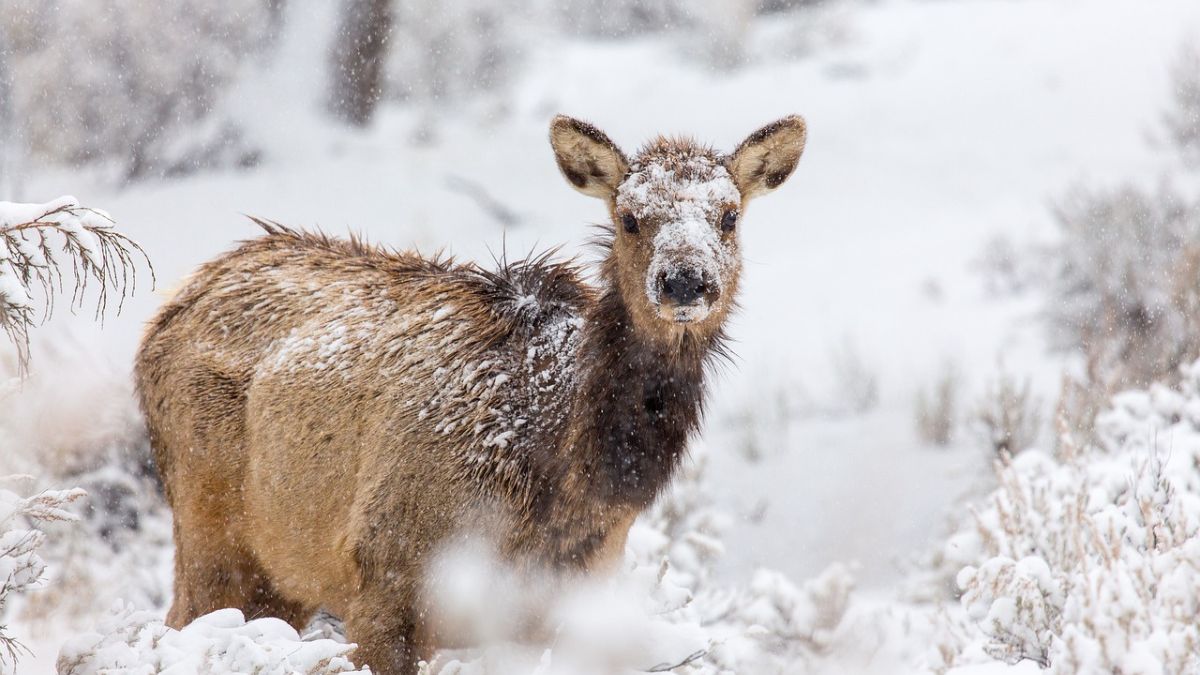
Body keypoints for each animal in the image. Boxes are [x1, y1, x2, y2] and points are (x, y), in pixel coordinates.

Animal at [133, 112, 806, 667]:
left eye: (729, 216)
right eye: (629, 218)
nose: (685, 281)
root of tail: (168, 310)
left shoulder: (564, 601)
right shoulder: (383, 573)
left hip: (282, 573)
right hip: (209, 527)